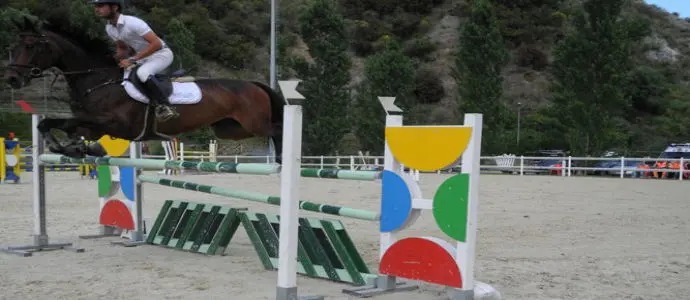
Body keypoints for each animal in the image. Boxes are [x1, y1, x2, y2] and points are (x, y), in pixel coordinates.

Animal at [4, 17, 284, 162]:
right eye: (14, 47)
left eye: (30, 47)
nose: (12, 79)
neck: (96, 79)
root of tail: (253, 84)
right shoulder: (93, 126)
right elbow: (52, 124)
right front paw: (74, 148)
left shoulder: (113, 122)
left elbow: (63, 123)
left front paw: (71, 148)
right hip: (231, 129)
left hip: (254, 123)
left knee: (277, 130)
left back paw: (283, 158)